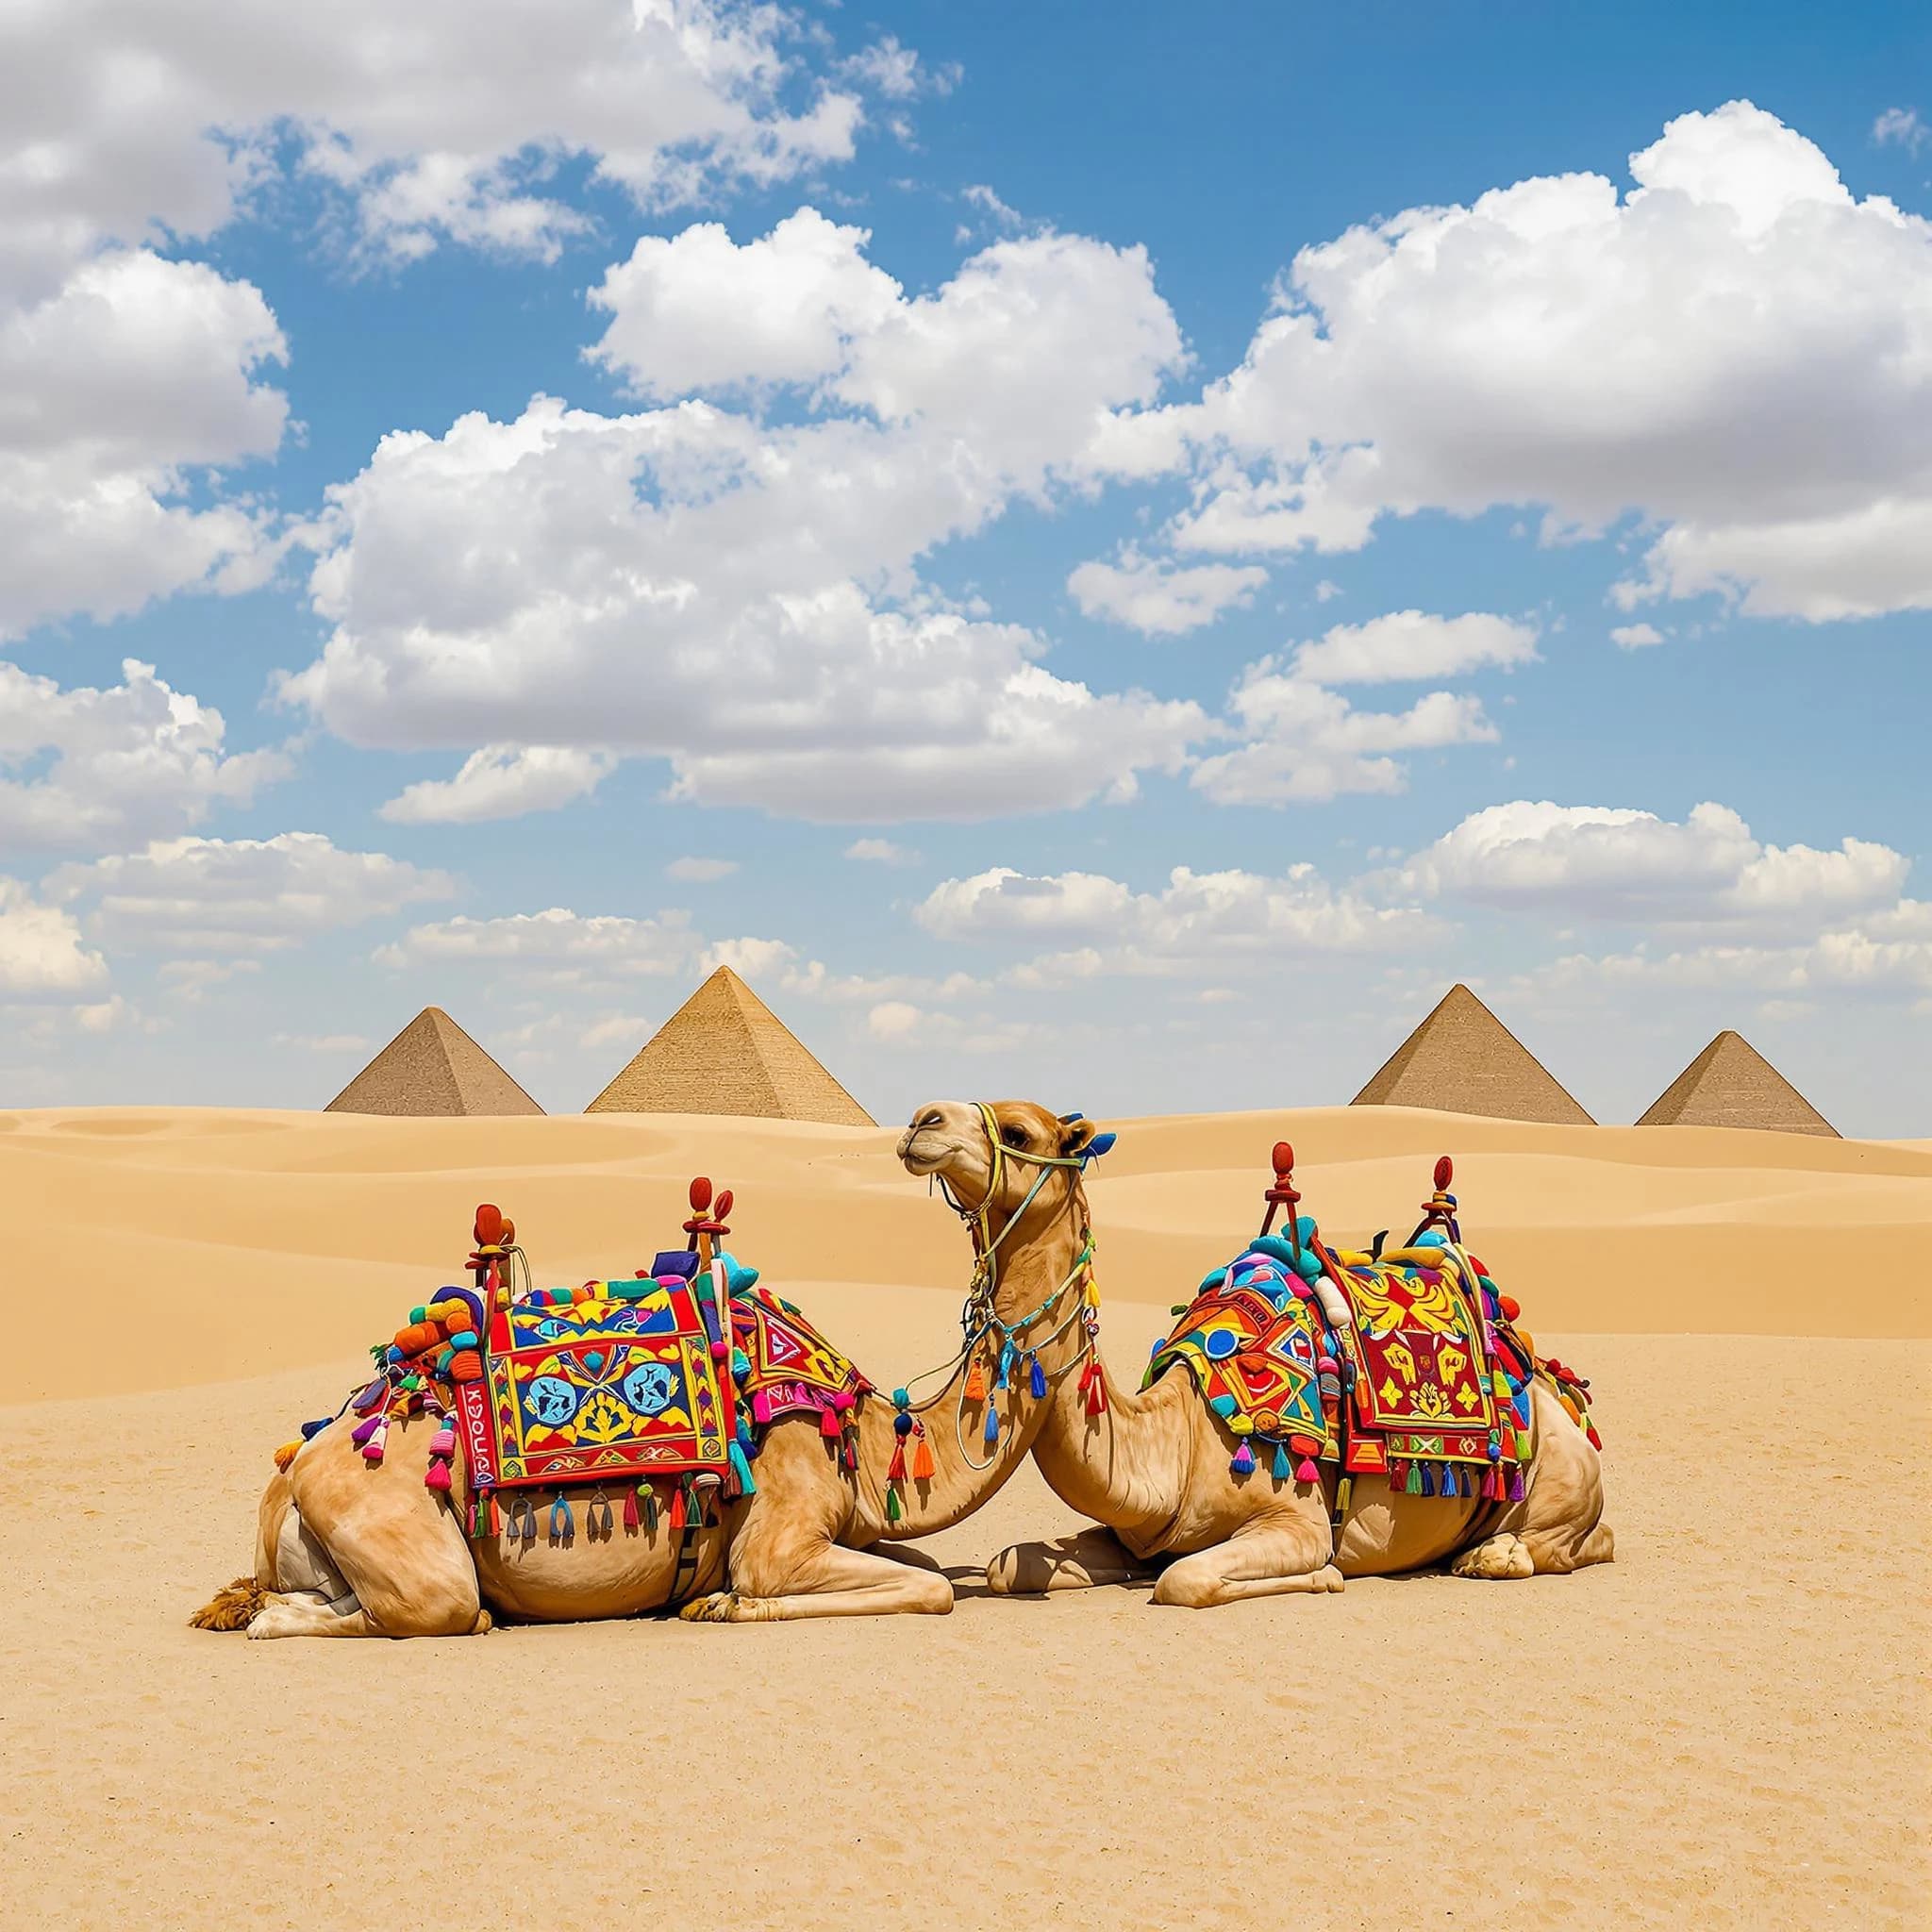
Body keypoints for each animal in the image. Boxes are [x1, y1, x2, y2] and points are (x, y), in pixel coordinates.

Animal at [198, 1143, 1103, 1636]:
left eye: (1025, 1129)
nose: (924, 1124)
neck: (865, 1434)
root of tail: (291, 1474)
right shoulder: (781, 1531)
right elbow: (926, 1590)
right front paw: (722, 1605)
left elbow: (920, 1565)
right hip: (398, 1526)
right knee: (414, 1608)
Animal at [897, 1098, 1614, 1608]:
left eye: (1017, 1133)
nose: (920, 1120)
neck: (1178, 1439)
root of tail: (1555, 1385)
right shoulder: (1136, 1533)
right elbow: (1006, 1566)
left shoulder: (1296, 1520)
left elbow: (1184, 1580)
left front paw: (1326, 1578)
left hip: (1561, 1469)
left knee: (1569, 1542)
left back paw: (1491, 1555)